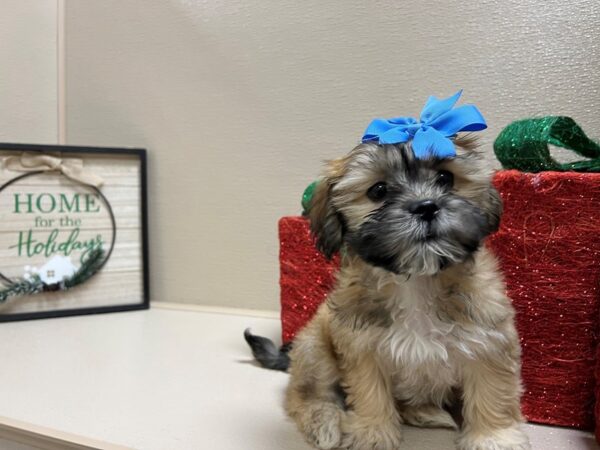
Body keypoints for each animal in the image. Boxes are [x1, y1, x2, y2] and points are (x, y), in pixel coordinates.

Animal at [246, 137, 528, 450]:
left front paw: (493, 437)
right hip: (314, 349)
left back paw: (425, 413)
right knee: (303, 395)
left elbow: (492, 393)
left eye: (445, 178)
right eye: (378, 191)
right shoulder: (362, 349)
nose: (426, 207)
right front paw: (372, 433)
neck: (416, 281)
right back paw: (325, 422)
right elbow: (371, 393)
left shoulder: (489, 342)